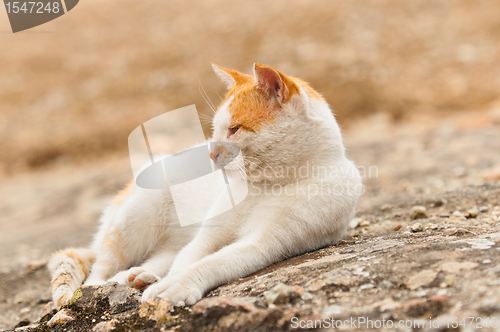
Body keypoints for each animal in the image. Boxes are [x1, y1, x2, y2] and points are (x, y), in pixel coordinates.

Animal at [47, 63, 364, 308]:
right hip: (134, 219)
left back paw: (141, 277)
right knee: (99, 272)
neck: (270, 184)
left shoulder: (265, 243)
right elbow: (192, 257)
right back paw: (107, 285)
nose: (210, 154)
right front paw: (170, 283)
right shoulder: (209, 234)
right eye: (214, 131)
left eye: (234, 129)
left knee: (159, 258)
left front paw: (173, 285)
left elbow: (210, 263)